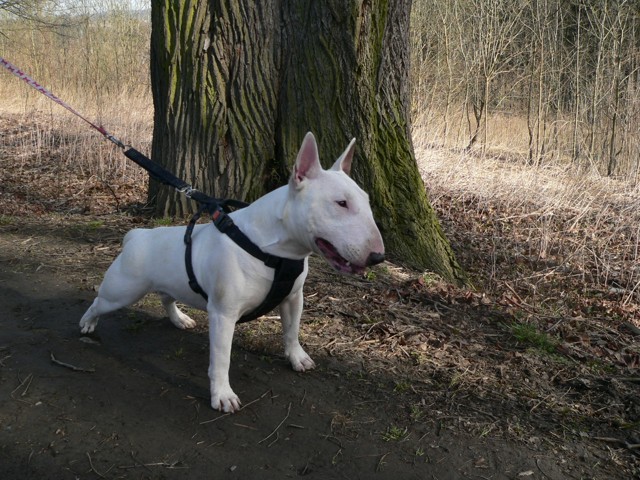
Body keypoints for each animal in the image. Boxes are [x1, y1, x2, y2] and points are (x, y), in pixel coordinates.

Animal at [79, 132, 385, 412]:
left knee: (166, 297)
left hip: (167, 283)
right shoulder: (223, 315)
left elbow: (292, 330)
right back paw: (87, 323)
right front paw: (223, 396)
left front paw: (297, 357)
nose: (378, 256)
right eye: (341, 203)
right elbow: (221, 359)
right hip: (122, 292)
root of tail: (137, 235)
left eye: (367, 201)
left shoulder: (293, 298)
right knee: (98, 303)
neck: (273, 249)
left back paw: (179, 319)